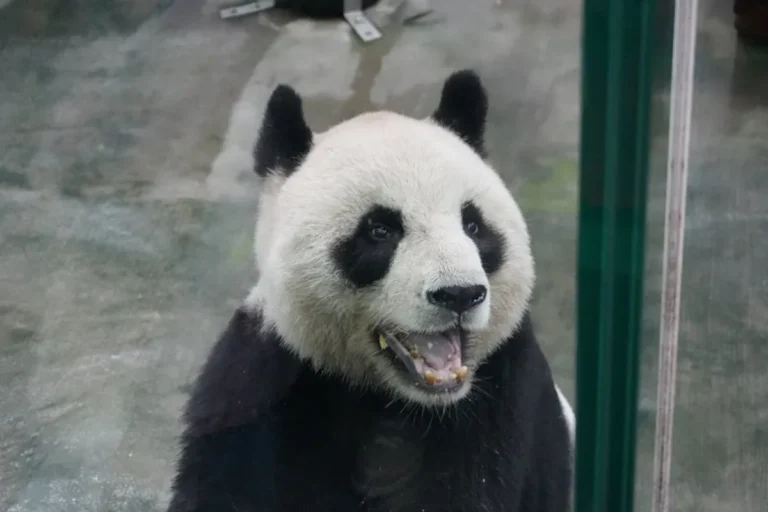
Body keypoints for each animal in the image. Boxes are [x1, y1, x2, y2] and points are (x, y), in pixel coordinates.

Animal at [167, 69, 575, 512]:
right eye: (380, 230)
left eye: (473, 225)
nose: (460, 294)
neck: (390, 395)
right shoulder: (261, 381)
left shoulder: (498, 399)